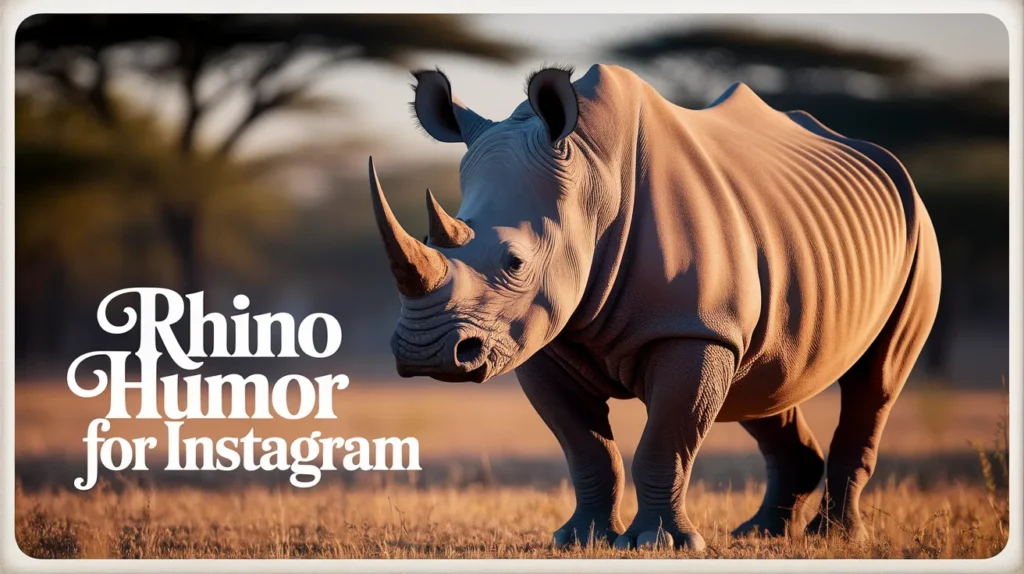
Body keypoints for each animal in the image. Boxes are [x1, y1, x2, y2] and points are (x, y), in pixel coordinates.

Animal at [367, 64, 941, 551]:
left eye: (514, 262)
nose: (424, 354)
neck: (592, 178)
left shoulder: (692, 328)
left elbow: (666, 439)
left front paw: (659, 543)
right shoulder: (539, 338)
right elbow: (585, 447)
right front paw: (580, 540)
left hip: (919, 233)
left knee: (876, 379)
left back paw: (837, 538)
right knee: (766, 379)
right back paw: (761, 534)